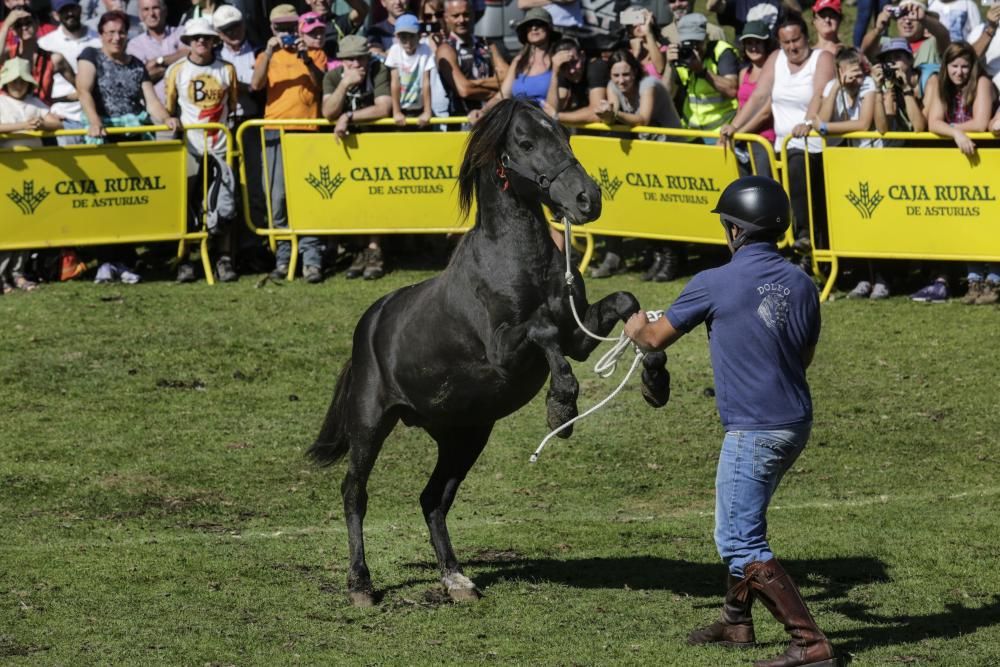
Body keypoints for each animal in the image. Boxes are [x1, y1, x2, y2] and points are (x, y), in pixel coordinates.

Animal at [308, 99, 668, 604]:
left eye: (565, 134)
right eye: (526, 143)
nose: (587, 199)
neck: (520, 264)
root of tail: (370, 325)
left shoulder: (579, 336)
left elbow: (626, 304)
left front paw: (655, 379)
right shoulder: (504, 350)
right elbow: (541, 332)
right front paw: (561, 406)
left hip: (465, 436)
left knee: (433, 498)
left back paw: (455, 578)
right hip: (370, 424)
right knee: (354, 493)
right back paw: (361, 584)